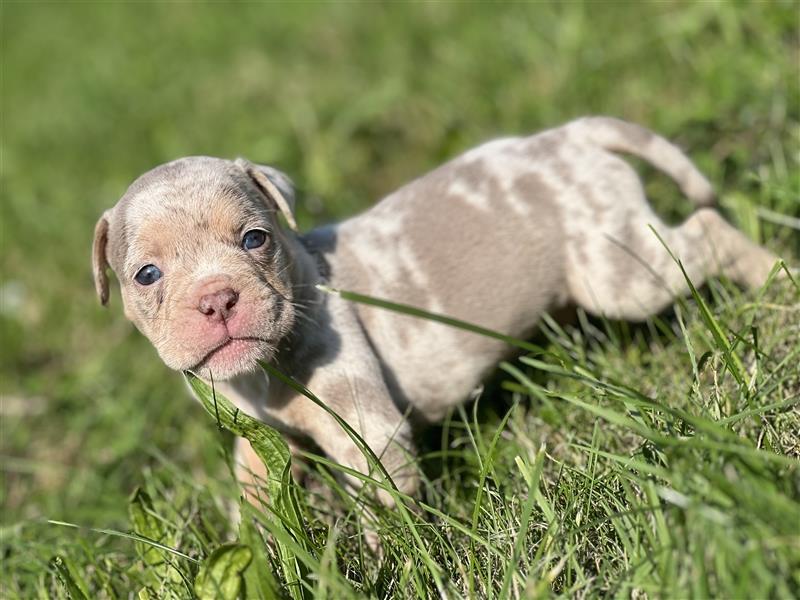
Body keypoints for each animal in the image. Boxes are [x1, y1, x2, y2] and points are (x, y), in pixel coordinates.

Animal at [92, 118, 780, 510]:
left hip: (621, 272)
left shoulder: (368, 432)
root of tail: (568, 136)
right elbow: (259, 508)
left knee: (708, 232)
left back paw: (776, 276)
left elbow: (388, 516)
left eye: (255, 238)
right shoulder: (258, 444)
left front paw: (390, 566)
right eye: (147, 275)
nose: (217, 298)